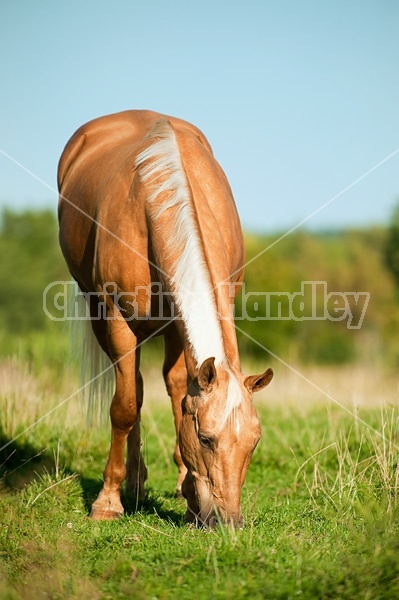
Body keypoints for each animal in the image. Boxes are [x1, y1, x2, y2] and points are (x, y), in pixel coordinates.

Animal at [57, 110, 276, 528]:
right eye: (206, 439)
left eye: (254, 442)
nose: (229, 523)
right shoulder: (116, 318)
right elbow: (124, 407)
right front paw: (107, 502)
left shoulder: (181, 324)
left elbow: (178, 395)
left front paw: (188, 493)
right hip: (102, 315)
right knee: (133, 390)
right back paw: (133, 483)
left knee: (166, 385)